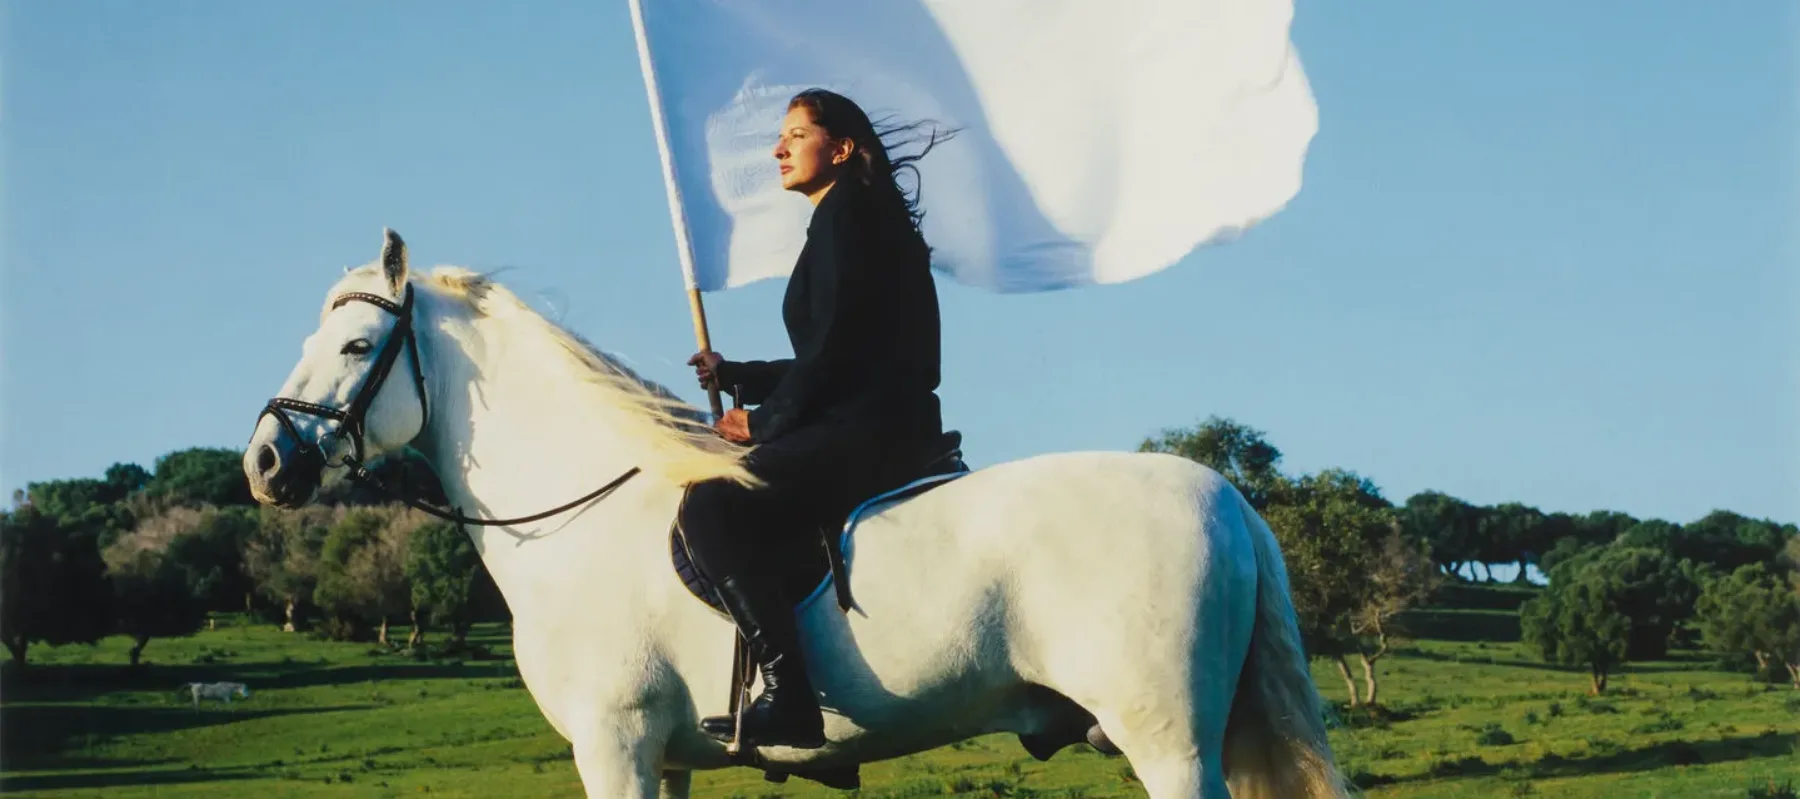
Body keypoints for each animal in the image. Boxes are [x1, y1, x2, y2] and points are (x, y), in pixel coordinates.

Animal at [239, 227, 1346, 795]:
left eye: (353, 347)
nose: (264, 462)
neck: (581, 517)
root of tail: (1227, 500)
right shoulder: (661, 760)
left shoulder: (615, 745)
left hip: (1169, 742)